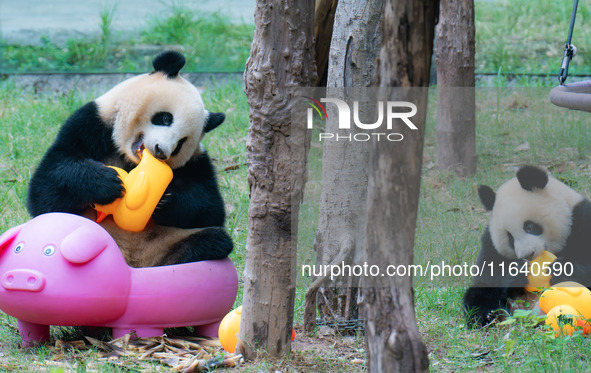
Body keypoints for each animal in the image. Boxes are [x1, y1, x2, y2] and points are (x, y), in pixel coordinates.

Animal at [26, 50, 234, 268]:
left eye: (180, 143)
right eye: (166, 118)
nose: (161, 151)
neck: (129, 157)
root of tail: (134, 261)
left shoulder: (196, 162)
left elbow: (211, 209)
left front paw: (164, 201)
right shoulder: (91, 124)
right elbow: (46, 190)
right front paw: (107, 183)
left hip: (170, 241)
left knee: (214, 240)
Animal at [464, 166, 591, 326]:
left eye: (529, 226)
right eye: (510, 238)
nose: (527, 255)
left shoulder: (582, 220)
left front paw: (562, 269)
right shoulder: (490, 245)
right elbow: (489, 275)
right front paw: (517, 273)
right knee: (478, 296)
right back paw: (483, 318)